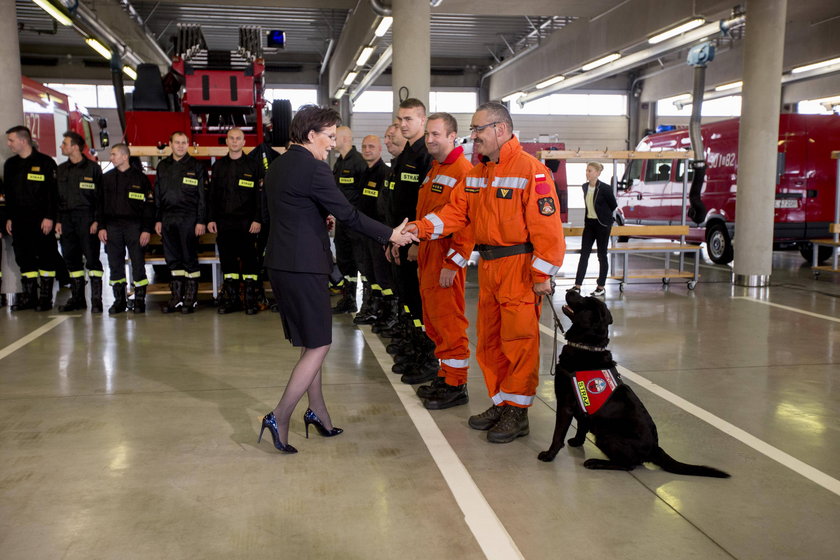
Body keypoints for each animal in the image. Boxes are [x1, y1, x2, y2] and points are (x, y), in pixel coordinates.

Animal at [540, 290, 728, 480]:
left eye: (585, 300)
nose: (569, 290)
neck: (587, 346)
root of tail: (655, 448)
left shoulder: (565, 404)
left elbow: (558, 434)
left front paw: (549, 455)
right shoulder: (582, 407)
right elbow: (582, 426)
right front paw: (576, 442)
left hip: (607, 435)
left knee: (628, 465)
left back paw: (596, 462)